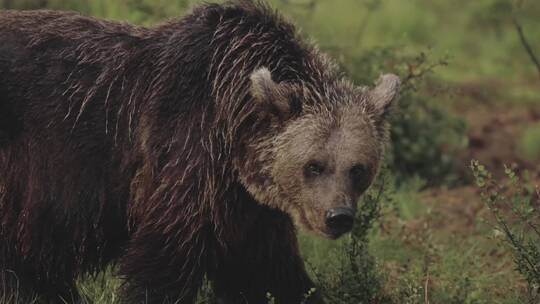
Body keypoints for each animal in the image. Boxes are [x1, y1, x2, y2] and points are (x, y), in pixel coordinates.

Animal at [0, 1, 396, 302]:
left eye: (357, 168)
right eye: (314, 165)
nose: (338, 216)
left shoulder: (248, 205)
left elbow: (266, 269)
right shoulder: (187, 152)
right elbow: (167, 253)